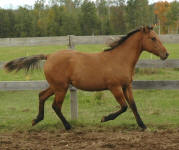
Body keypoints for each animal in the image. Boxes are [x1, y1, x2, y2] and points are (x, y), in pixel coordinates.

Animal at [4, 26, 169, 130]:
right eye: (153, 38)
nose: (166, 54)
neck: (120, 59)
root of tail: (49, 56)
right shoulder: (114, 87)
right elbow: (124, 107)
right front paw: (104, 118)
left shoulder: (126, 86)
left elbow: (133, 106)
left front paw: (143, 126)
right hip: (61, 87)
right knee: (56, 105)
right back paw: (68, 126)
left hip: (56, 86)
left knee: (42, 96)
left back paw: (36, 119)